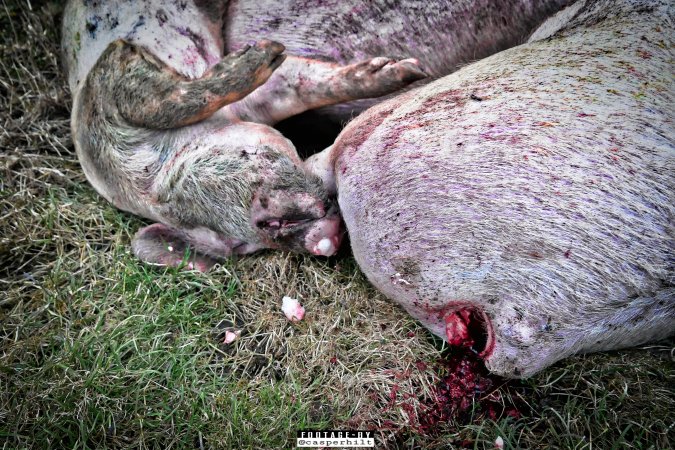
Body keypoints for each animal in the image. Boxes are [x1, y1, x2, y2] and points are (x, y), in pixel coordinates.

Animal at [60, 0, 426, 268]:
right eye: (240, 245)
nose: (323, 240)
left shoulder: (112, 72)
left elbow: (167, 101)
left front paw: (410, 71)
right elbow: (297, 84)